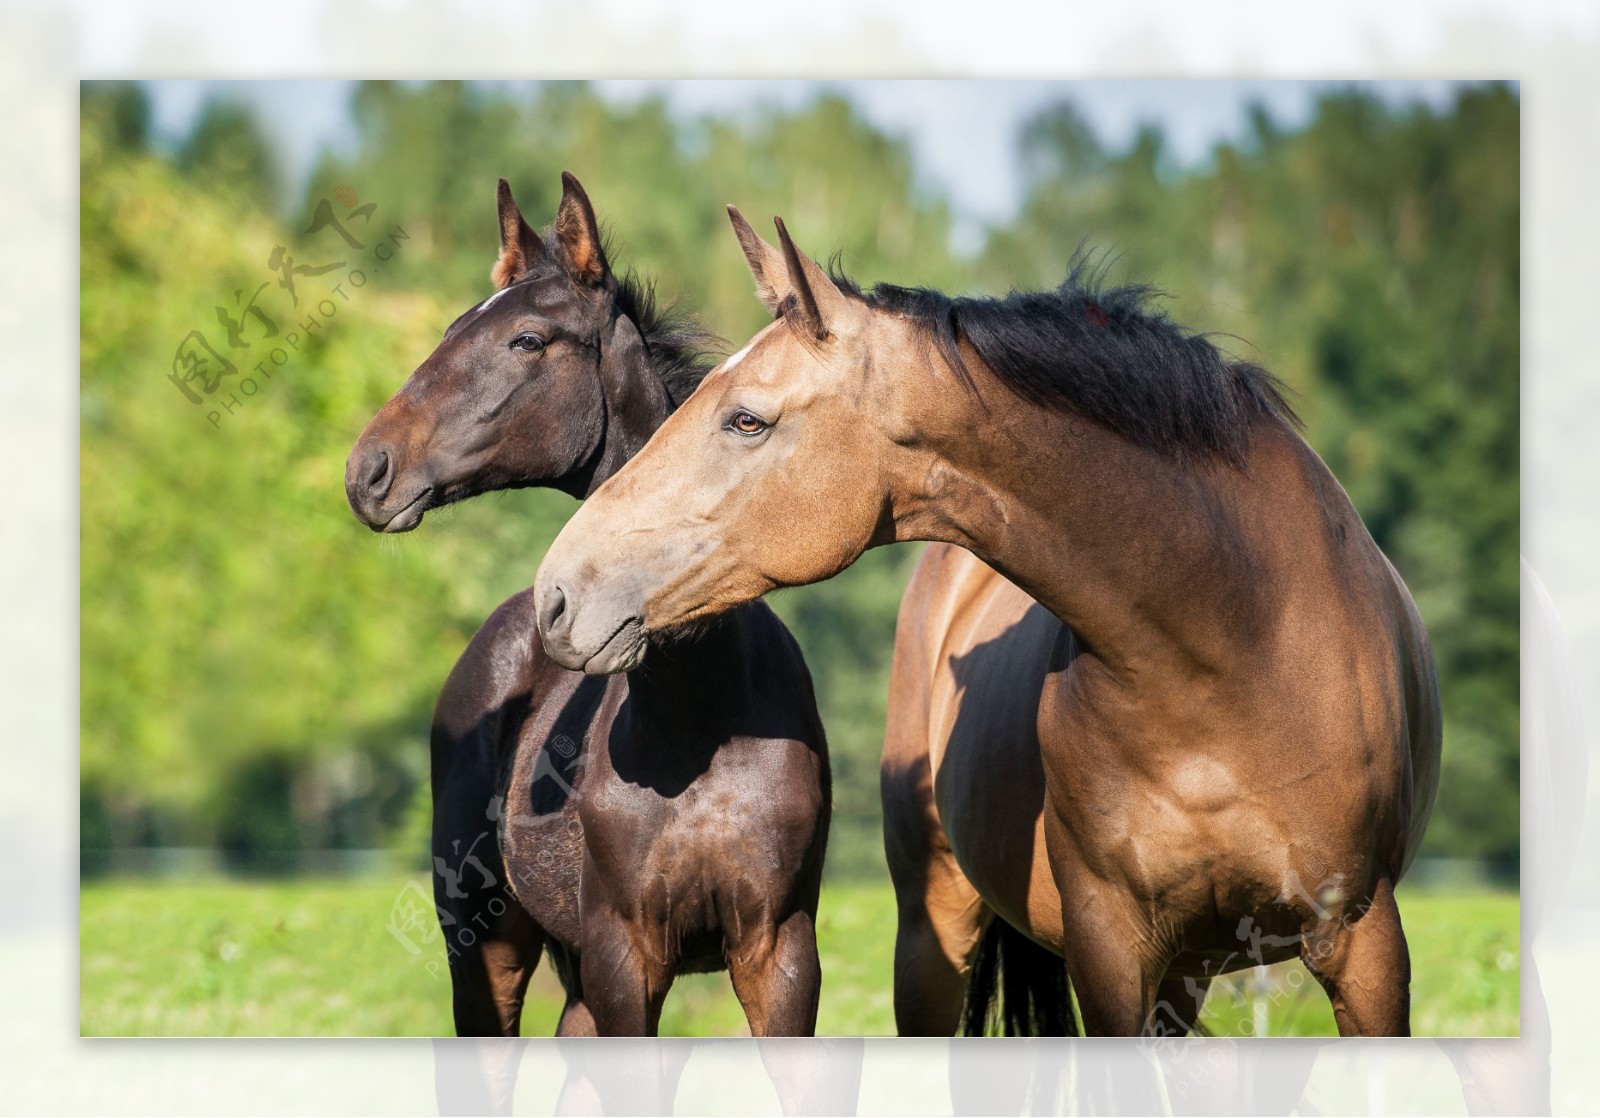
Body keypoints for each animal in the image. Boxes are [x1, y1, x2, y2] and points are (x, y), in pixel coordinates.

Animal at [345, 175, 832, 1042]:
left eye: (527, 340)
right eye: (453, 327)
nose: (369, 471)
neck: (703, 711)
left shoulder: (779, 951)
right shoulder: (623, 956)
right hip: (486, 948)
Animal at [531, 207, 1446, 1042]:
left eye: (746, 419)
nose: (556, 594)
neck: (1237, 634)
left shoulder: (1363, 941)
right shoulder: (1112, 952)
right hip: (938, 937)